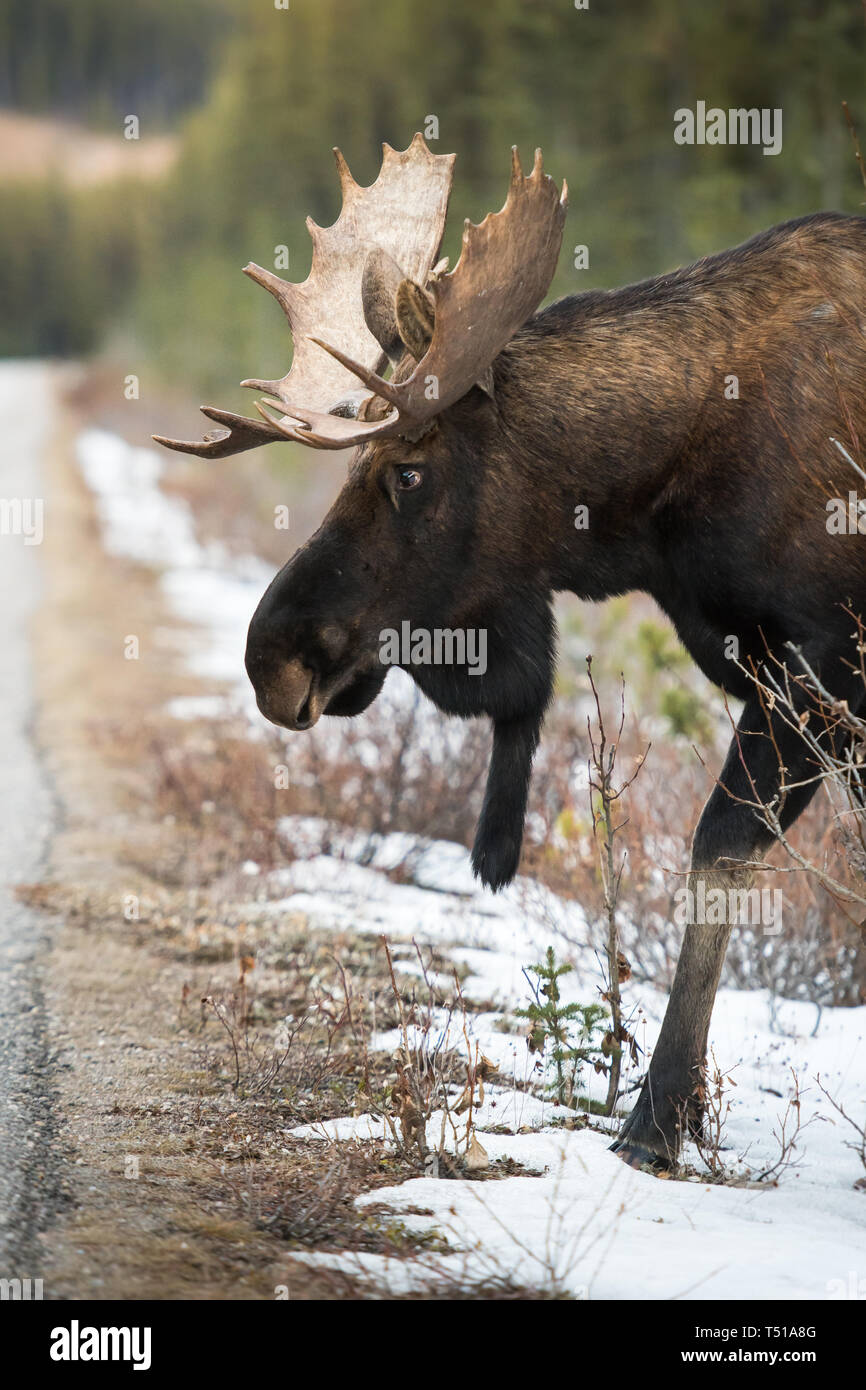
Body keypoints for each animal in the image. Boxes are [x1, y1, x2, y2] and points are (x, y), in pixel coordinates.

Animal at [154, 133, 866, 1167]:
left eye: (409, 471)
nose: (271, 657)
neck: (658, 507)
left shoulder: (818, 662)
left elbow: (718, 848)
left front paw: (659, 1119)